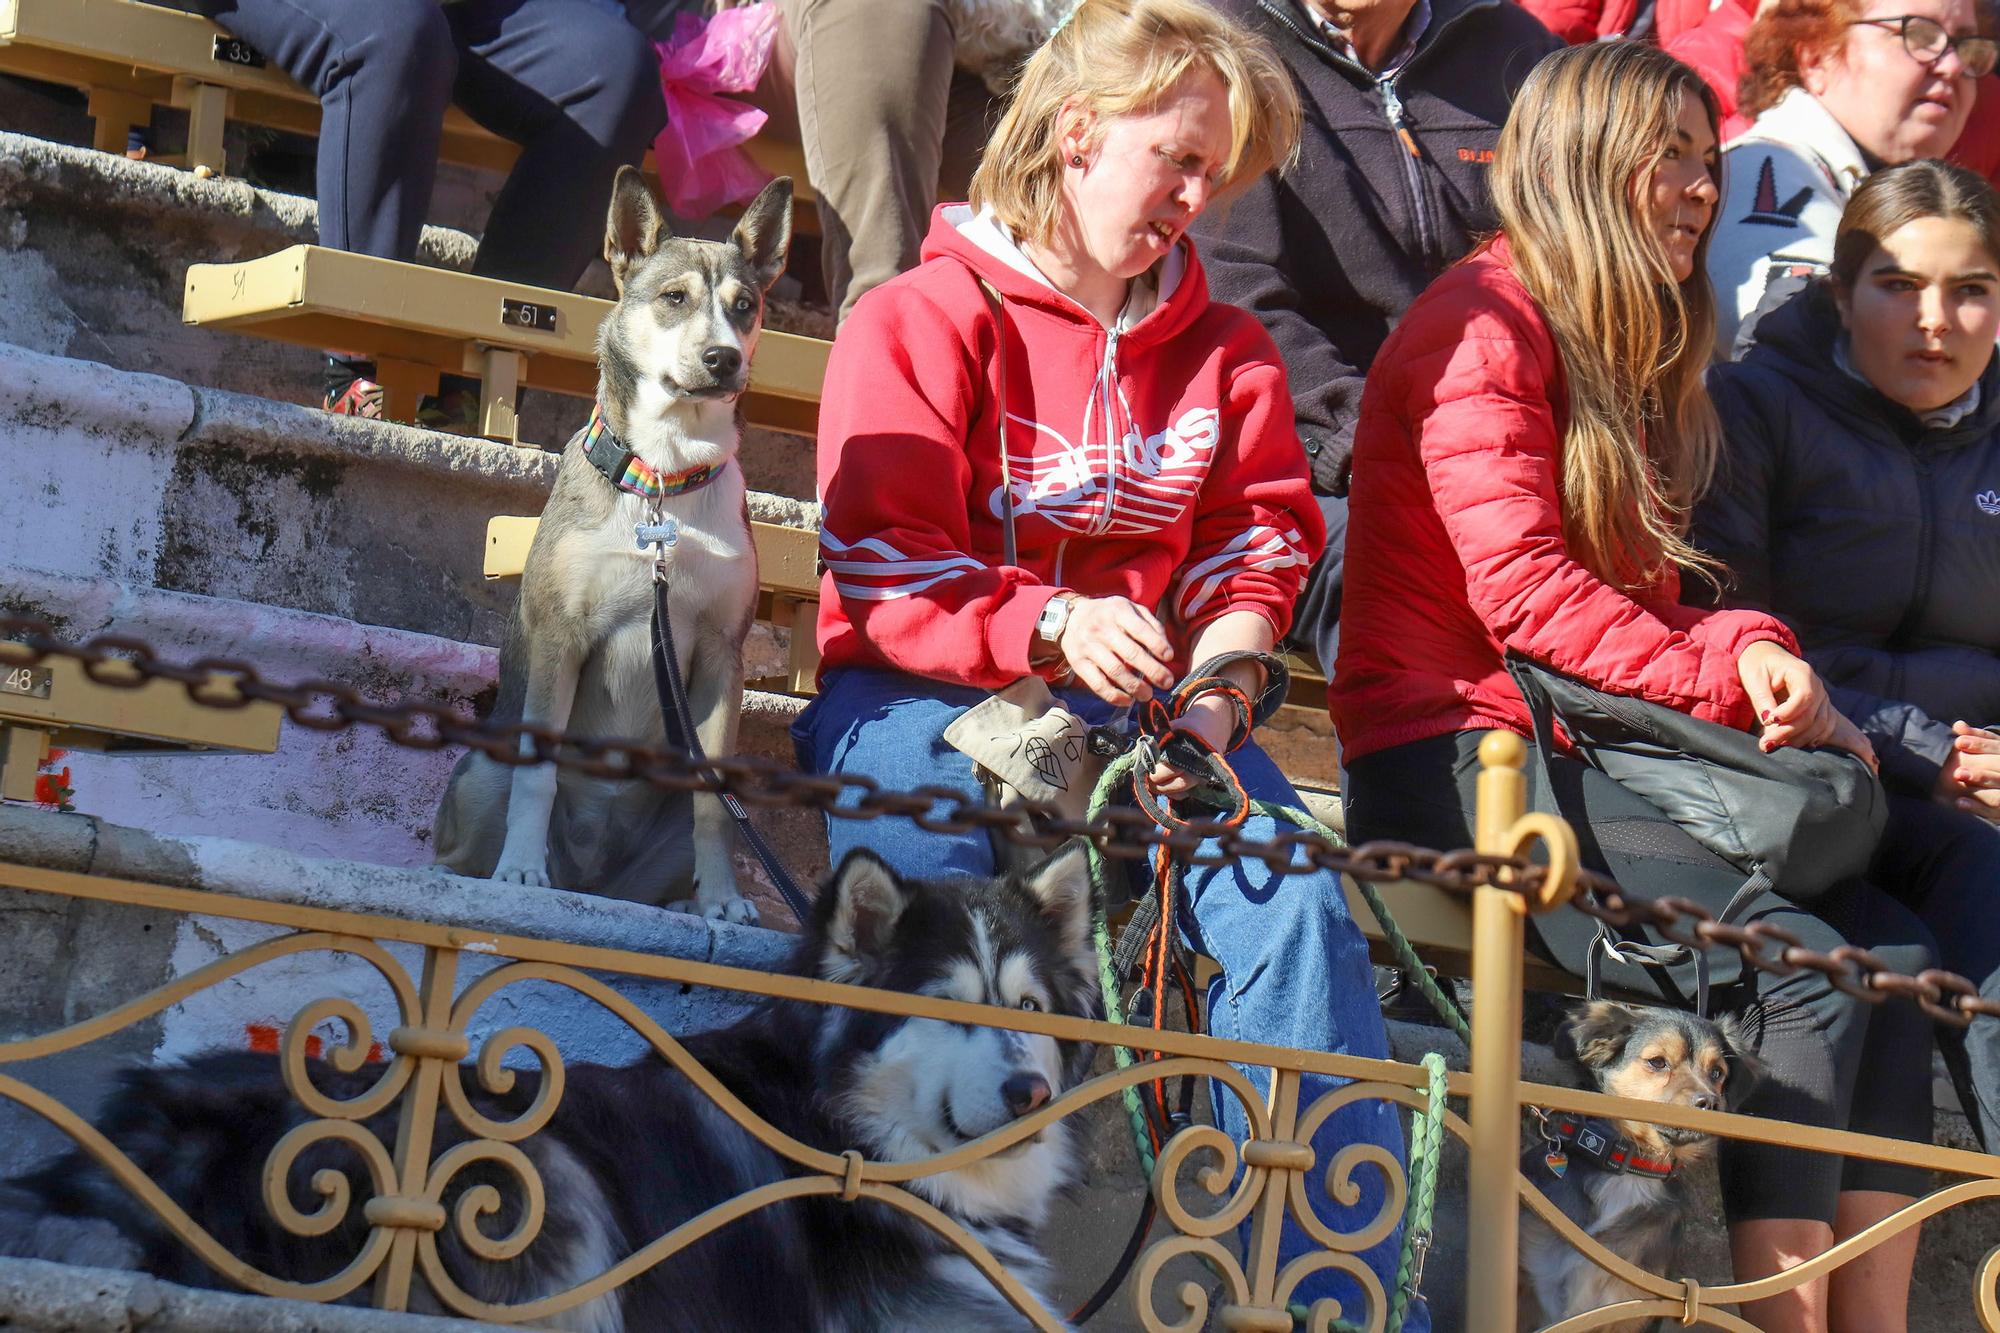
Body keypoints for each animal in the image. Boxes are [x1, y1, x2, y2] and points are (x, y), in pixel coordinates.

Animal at [430, 166, 788, 920]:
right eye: (674, 298)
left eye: (745, 306)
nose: (722, 358)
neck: (663, 479)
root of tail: (589, 880)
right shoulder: (560, 637)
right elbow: (537, 777)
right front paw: (519, 872)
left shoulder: (723, 655)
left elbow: (713, 808)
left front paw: (723, 900)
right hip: (481, 768)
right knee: (467, 836)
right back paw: (487, 874)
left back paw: (684, 904)